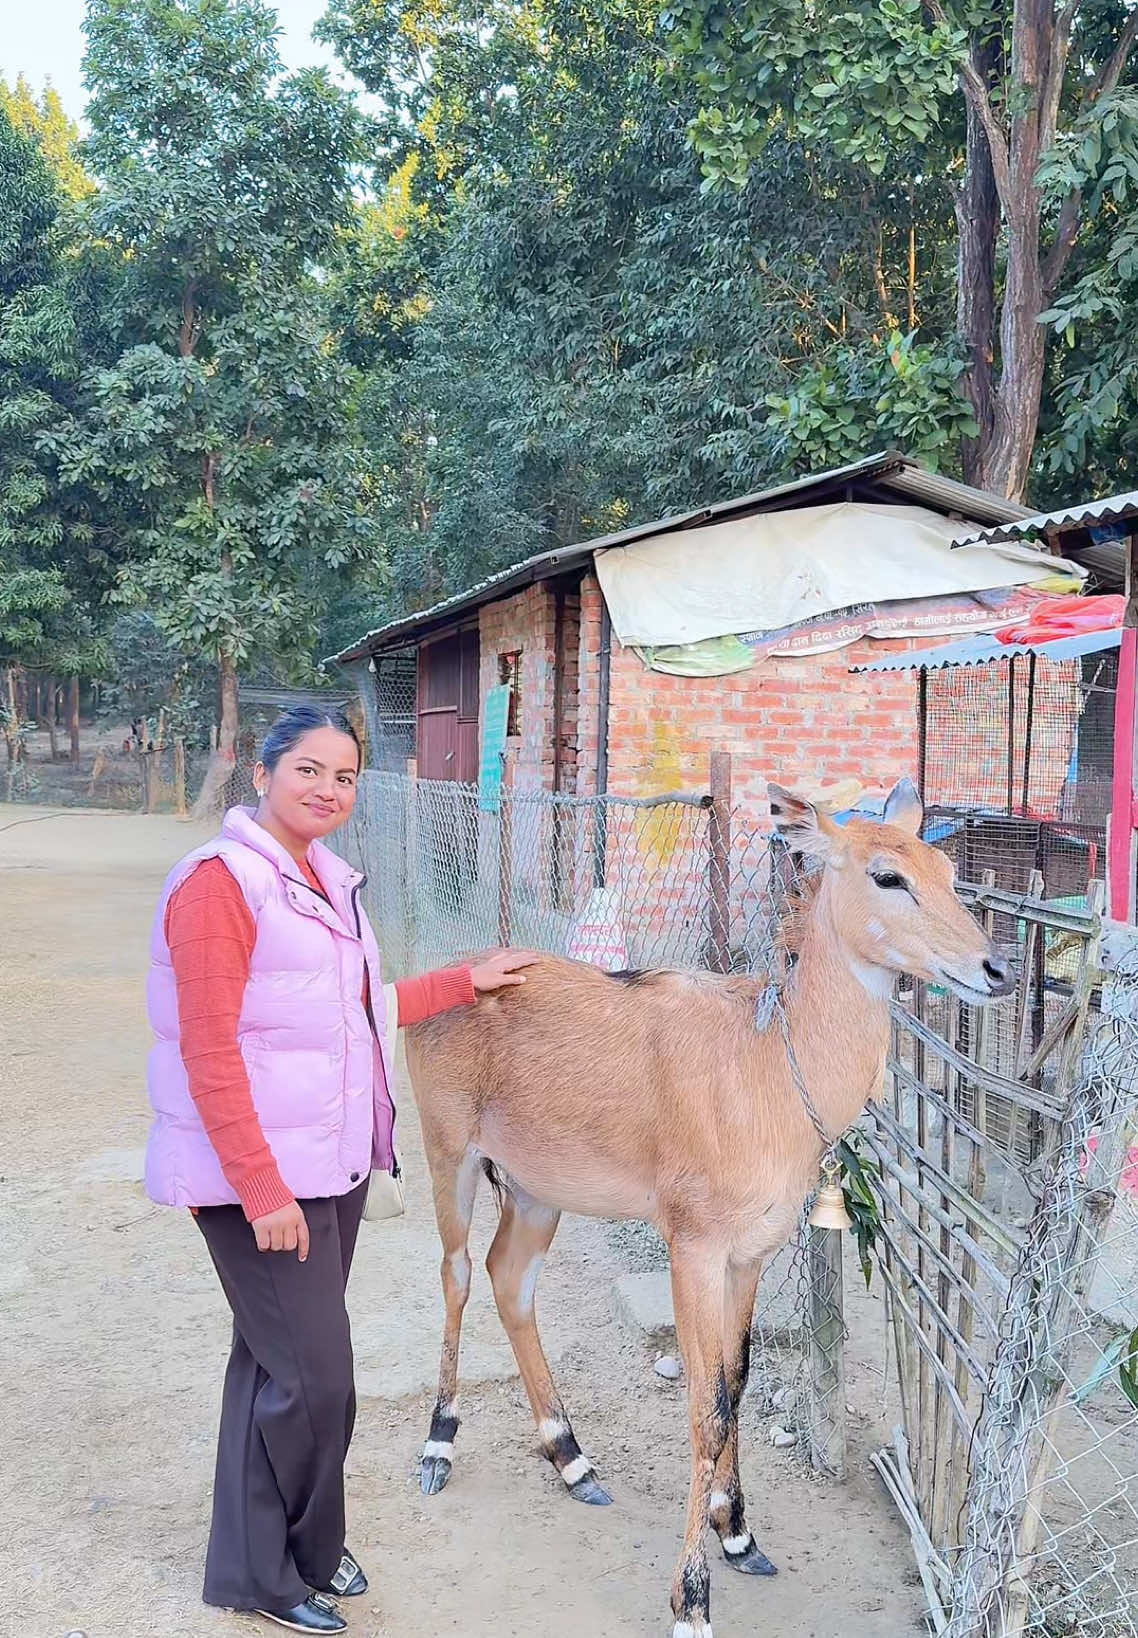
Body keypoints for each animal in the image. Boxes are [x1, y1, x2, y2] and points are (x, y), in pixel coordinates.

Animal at [404, 779, 1008, 1638]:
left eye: (951, 870)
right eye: (888, 875)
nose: (994, 969)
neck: (772, 1066)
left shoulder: (751, 1250)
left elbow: (737, 1380)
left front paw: (739, 1531)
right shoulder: (691, 1243)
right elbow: (704, 1407)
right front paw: (692, 1598)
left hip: (535, 1189)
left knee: (508, 1279)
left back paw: (572, 1457)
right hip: (449, 1152)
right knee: (456, 1273)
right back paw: (439, 1446)